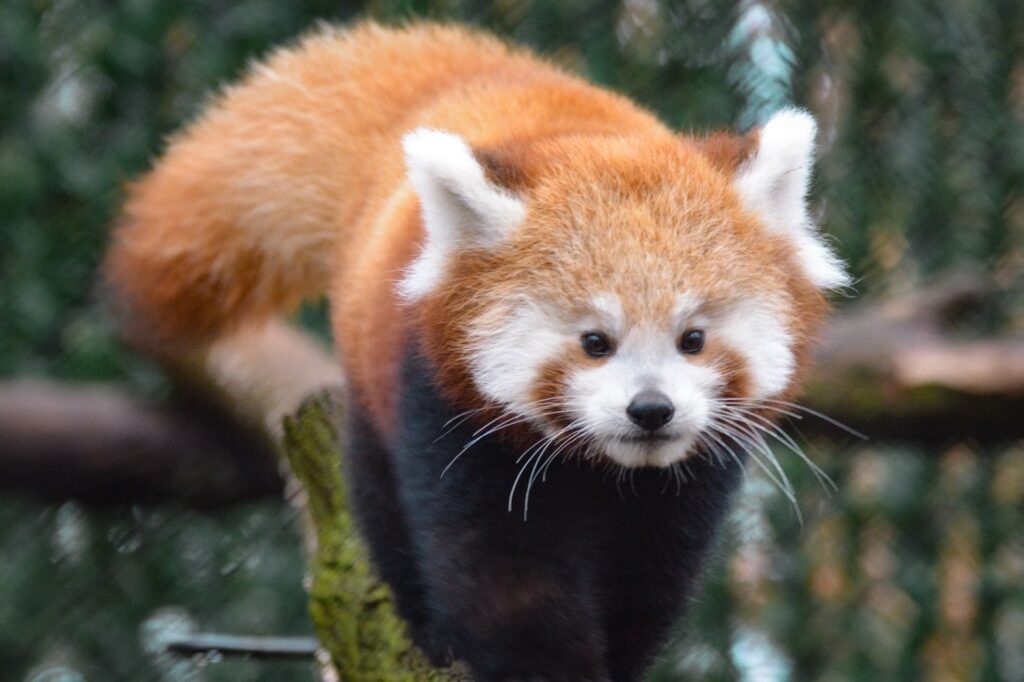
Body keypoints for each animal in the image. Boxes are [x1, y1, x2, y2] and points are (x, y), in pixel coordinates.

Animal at [101, 21, 847, 679]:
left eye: (693, 339)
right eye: (594, 342)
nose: (651, 410)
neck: (606, 468)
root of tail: (466, 81)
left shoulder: (690, 479)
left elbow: (648, 578)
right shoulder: (445, 412)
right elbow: (499, 573)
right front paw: (540, 668)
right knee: (378, 502)